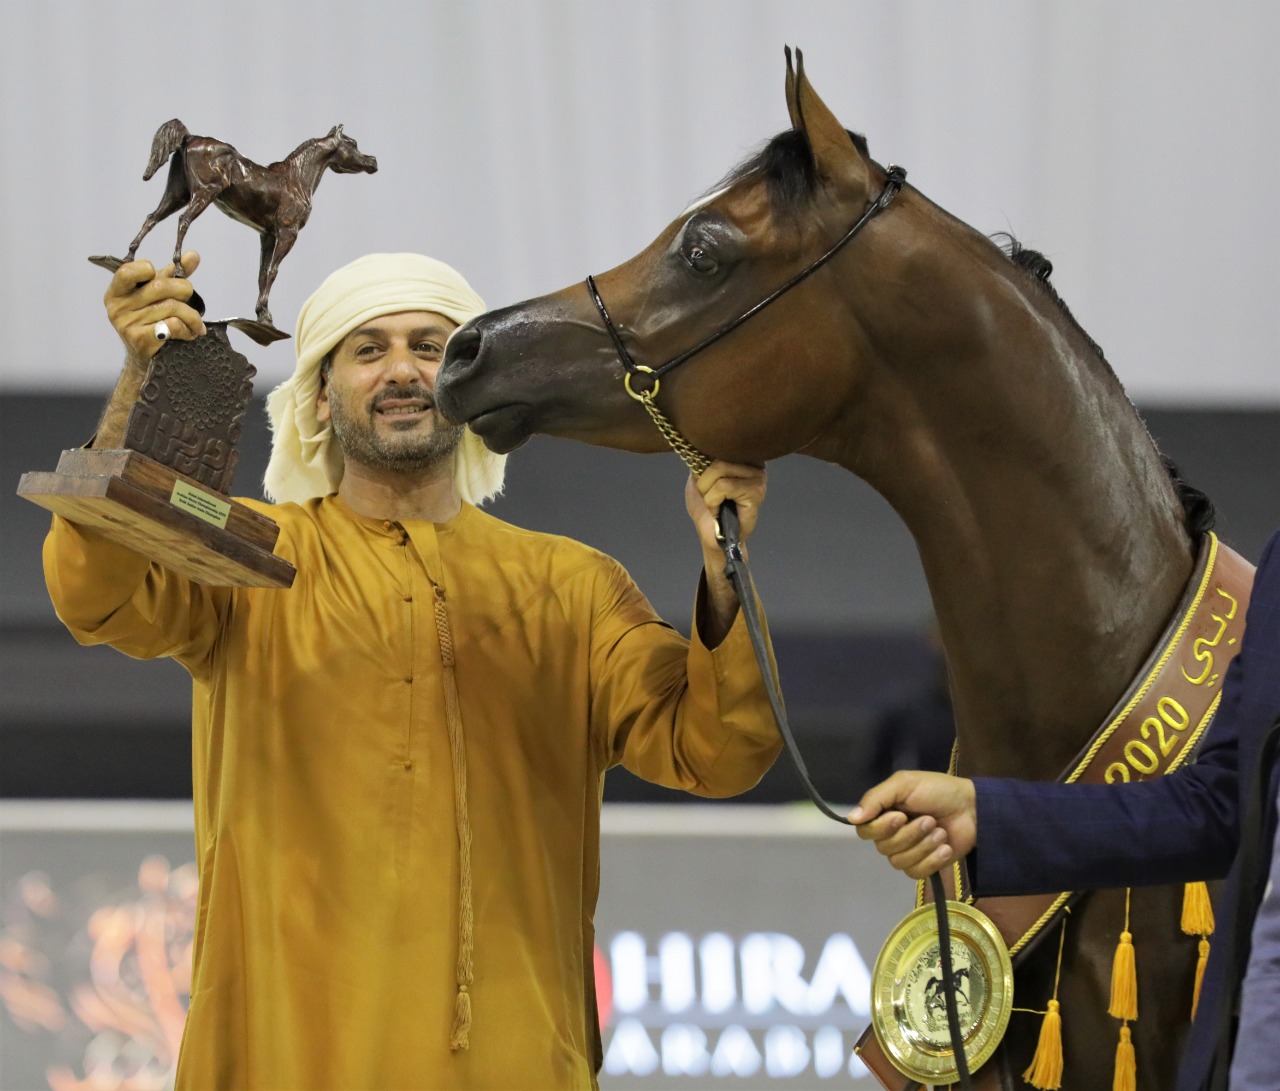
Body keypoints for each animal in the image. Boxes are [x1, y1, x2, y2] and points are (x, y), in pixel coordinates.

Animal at [116, 119, 373, 326]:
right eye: (353, 143)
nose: (373, 161)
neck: (297, 179)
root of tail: (189, 138)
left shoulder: (267, 235)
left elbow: (262, 274)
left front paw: (261, 313)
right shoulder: (287, 233)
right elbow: (273, 271)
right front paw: (266, 316)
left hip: (177, 194)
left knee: (152, 218)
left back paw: (128, 257)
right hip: (203, 193)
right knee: (183, 221)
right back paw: (178, 266)